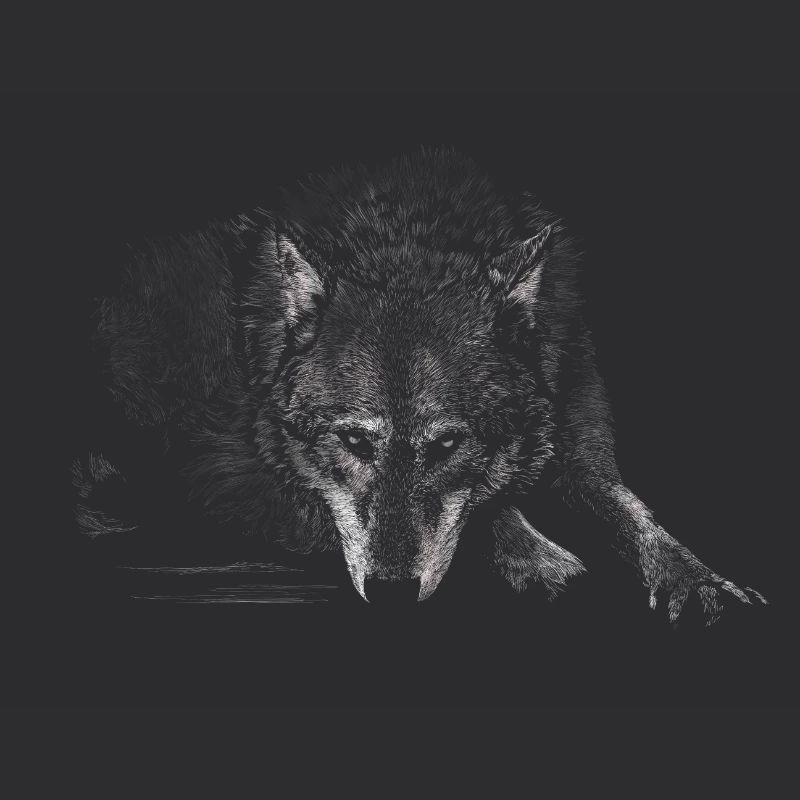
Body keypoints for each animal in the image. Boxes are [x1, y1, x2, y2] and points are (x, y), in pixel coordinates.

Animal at [75, 147, 766, 623]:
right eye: (355, 443)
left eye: (447, 446)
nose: (390, 594)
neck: (410, 238)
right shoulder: (226, 471)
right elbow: (491, 511)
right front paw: (542, 559)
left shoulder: (583, 454)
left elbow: (635, 514)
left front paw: (700, 581)